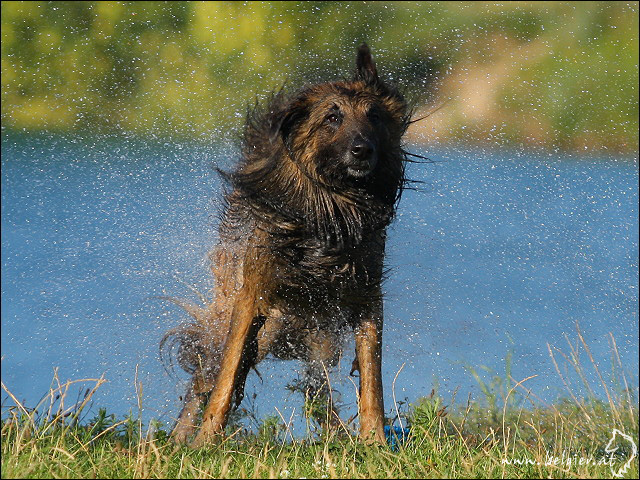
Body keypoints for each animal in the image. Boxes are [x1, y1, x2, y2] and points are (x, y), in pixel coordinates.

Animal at [161, 42, 410, 446]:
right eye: (332, 118)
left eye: (374, 116)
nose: (362, 150)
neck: (333, 205)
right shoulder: (253, 295)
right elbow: (226, 379)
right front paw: (205, 441)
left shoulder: (366, 293)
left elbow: (371, 378)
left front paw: (375, 442)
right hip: (249, 324)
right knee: (204, 376)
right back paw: (181, 438)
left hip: (316, 338)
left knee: (316, 388)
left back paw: (337, 435)